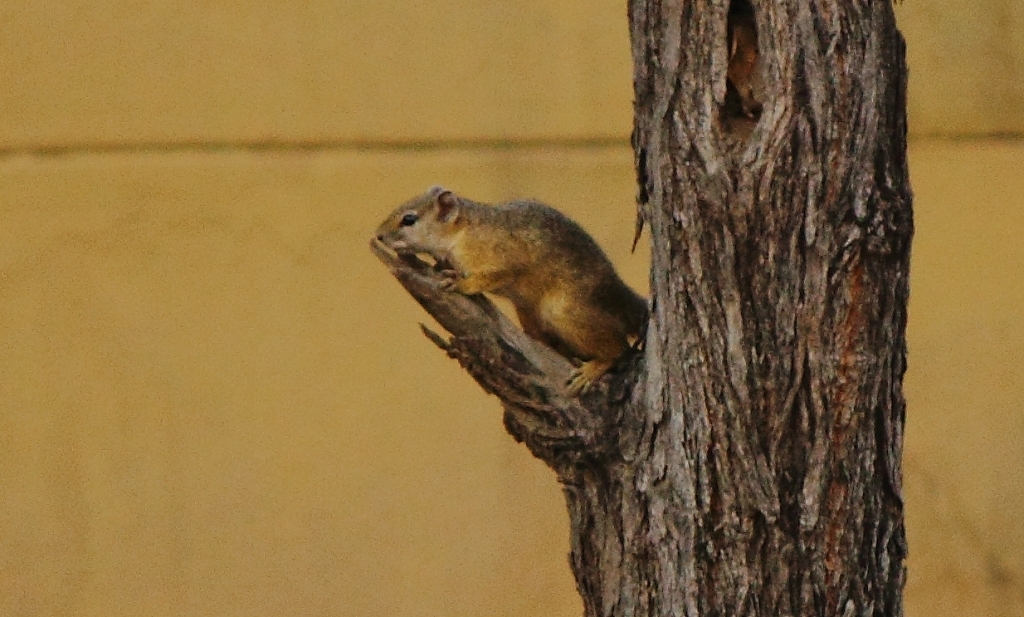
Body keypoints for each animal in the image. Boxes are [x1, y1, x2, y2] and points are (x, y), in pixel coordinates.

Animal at [374, 186, 647, 394]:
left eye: (409, 219)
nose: (379, 236)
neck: (462, 232)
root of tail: (624, 302)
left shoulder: (505, 256)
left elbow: (496, 275)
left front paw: (461, 283)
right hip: (530, 316)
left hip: (568, 311)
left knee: (618, 348)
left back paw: (592, 368)